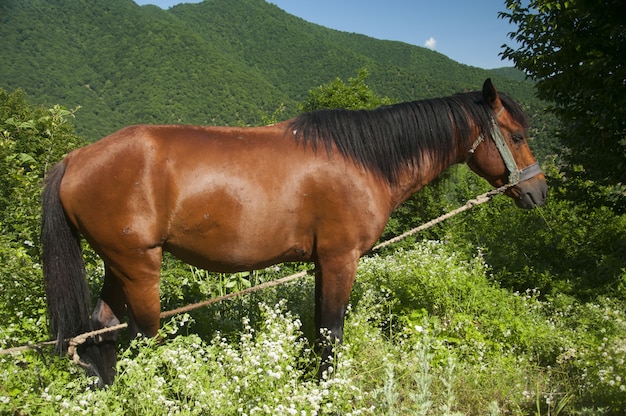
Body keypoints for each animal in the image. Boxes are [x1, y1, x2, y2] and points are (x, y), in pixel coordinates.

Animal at [40, 79, 544, 386]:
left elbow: (320, 327)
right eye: (517, 136)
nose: (538, 191)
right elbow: (332, 331)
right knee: (145, 333)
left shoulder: (323, 263)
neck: (362, 160)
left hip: (117, 264)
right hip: (139, 265)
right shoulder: (341, 258)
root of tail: (75, 159)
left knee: (101, 327)